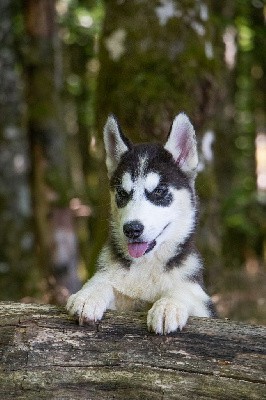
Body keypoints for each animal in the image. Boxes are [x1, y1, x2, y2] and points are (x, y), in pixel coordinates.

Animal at [66, 113, 214, 334]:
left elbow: (184, 291)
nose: (132, 229)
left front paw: (168, 306)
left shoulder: (202, 301)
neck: (147, 267)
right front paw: (88, 295)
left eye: (159, 191)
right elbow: (104, 282)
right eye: (122, 193)